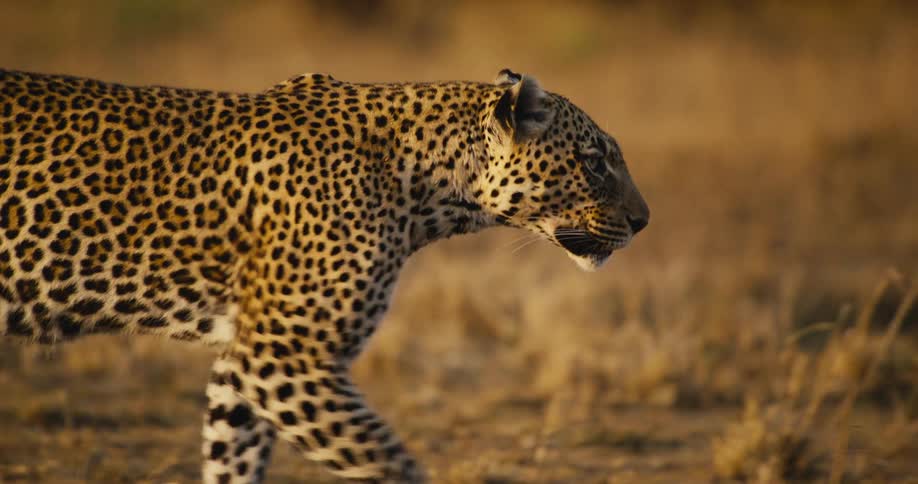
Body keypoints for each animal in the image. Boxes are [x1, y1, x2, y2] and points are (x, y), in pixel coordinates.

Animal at [0, 67, 649, 483]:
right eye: (595, 163)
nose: (644, 221)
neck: (430, 190)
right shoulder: (284, 356)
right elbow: (389, 461)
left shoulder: (245, 362)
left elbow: (232, 458)